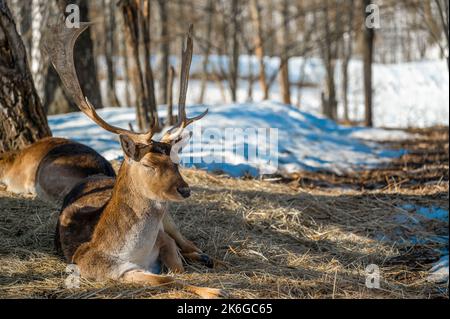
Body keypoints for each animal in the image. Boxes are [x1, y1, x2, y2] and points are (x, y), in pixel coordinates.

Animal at [45, 23, 225, 300]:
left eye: (177, 161)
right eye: (149, 164)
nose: (185, 190)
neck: (133, 253)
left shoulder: (164, 239)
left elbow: (177, 268)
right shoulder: (105, 267)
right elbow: (167, 280)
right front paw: (213, 291)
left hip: (170, 221)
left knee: (190, 244)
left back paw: (206, 257)